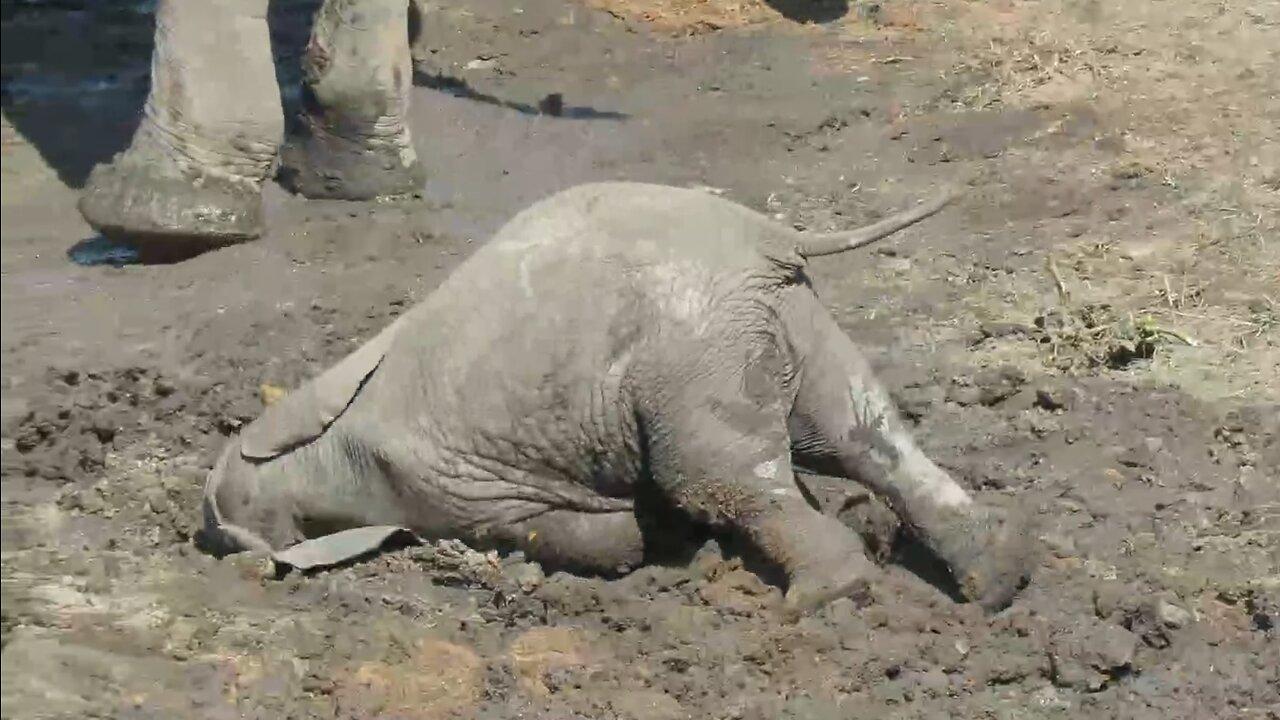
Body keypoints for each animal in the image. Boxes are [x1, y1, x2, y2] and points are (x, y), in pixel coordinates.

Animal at [202, 180, 1039, 609]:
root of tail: (770, 235)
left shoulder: (448, 489)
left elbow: (578, 534)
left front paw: (656, 541)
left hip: (694, 349)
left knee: (724, 477)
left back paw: (827, 600)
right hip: (783, 320)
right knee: (861, 434)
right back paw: (998, 578)